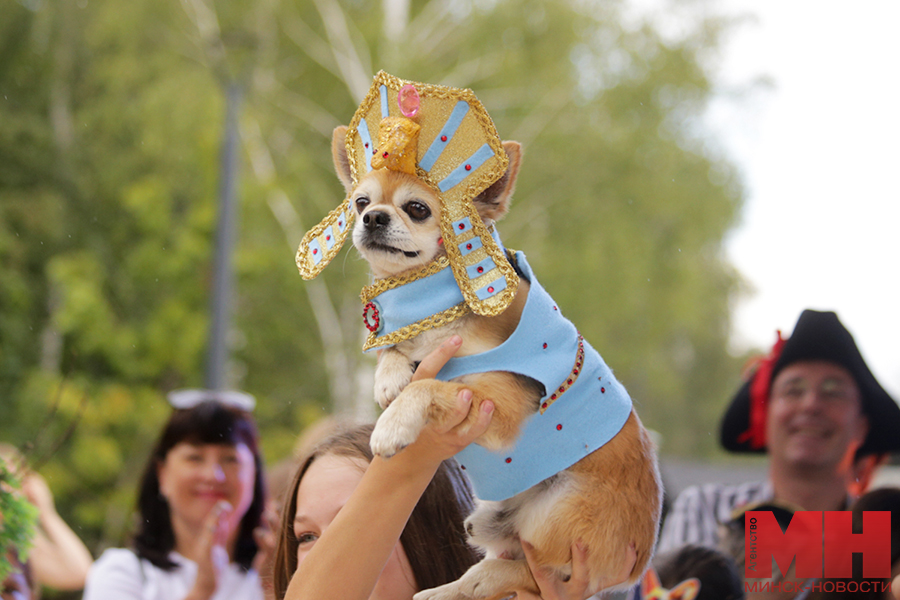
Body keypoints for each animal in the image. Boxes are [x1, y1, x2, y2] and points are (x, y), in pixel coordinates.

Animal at [296, 72, 660, 596]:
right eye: (361, 201)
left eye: (416, 209)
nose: (373, 217)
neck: (431, 305)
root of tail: (636, 563)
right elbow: (396, 353)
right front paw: (388, 377)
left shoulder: (501, 400)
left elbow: (431, 384)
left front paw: (392, 424)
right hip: (484, 518)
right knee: (486, 572)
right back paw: (438, 591)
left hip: (555, 512)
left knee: (525, 574)